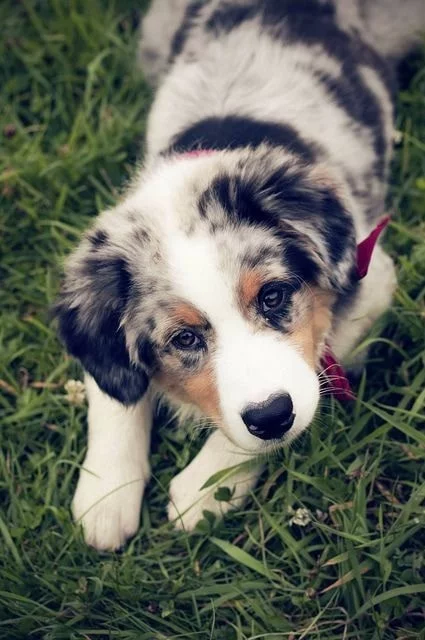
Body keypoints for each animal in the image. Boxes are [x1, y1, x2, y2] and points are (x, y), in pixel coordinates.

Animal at [54, 1, 424, 552]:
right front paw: (106, 494)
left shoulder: (371, 274)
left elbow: (312, 366)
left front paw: (205, 488)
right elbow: (114, 391)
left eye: (273, 297)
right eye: (184, 338)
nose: (271, 416)